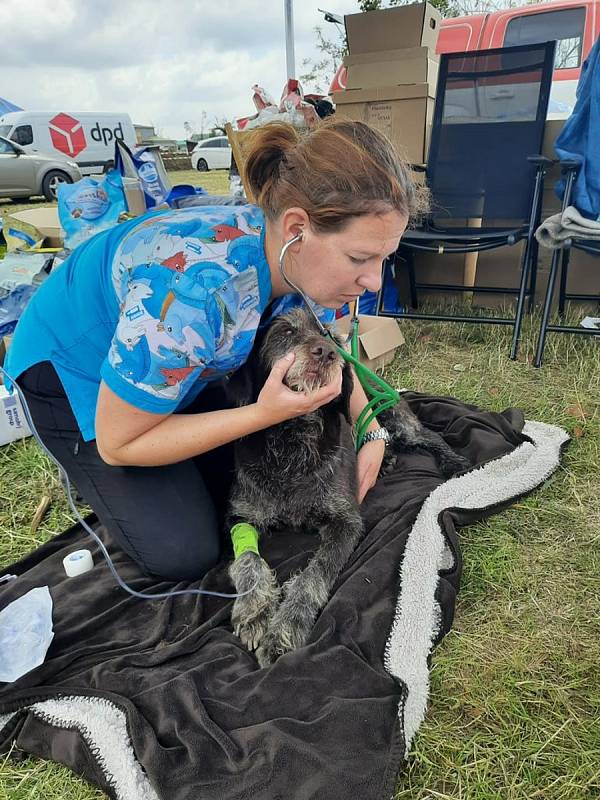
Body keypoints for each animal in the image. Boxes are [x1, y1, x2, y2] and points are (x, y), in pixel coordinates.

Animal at [225, 310, 468, 664]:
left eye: (329, 335)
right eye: (285, 331)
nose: (327, 352)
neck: (293, 443)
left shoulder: (345, 522)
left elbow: (313, 576)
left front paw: (285, 631)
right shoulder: (239, 516)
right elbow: (247, 561)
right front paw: (254, 610)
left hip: (396, 417)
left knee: (429, 436)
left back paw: (452, 461)